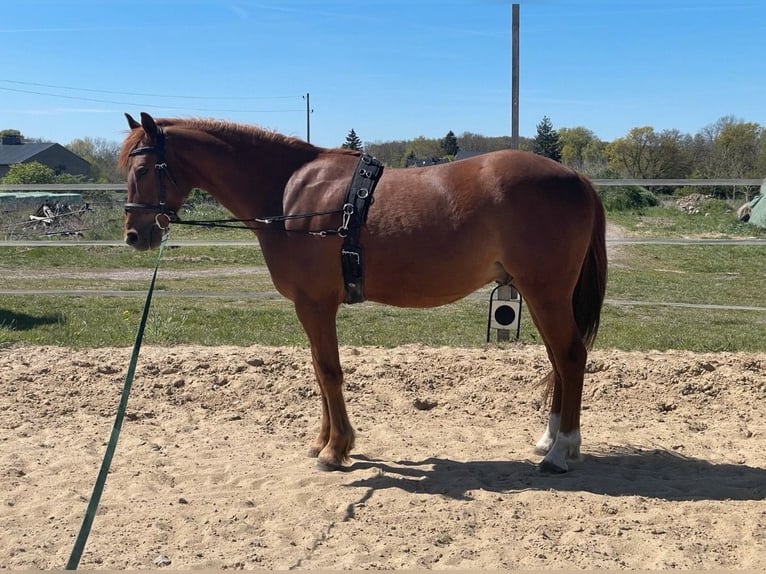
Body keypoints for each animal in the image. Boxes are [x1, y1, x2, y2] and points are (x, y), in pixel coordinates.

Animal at [120, 112, 607, 474]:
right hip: (540, 295)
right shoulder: (312, 308)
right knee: (558, 360)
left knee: (570, 357)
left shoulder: (315, 304)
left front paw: (336, 449)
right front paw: (322, 442)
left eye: (142, 169)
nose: (134, 234)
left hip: (545, 292)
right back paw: (547, 439)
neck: (290, 192)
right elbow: (319, 372)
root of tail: (575, 177)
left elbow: (329, 372)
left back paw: (561, 451)